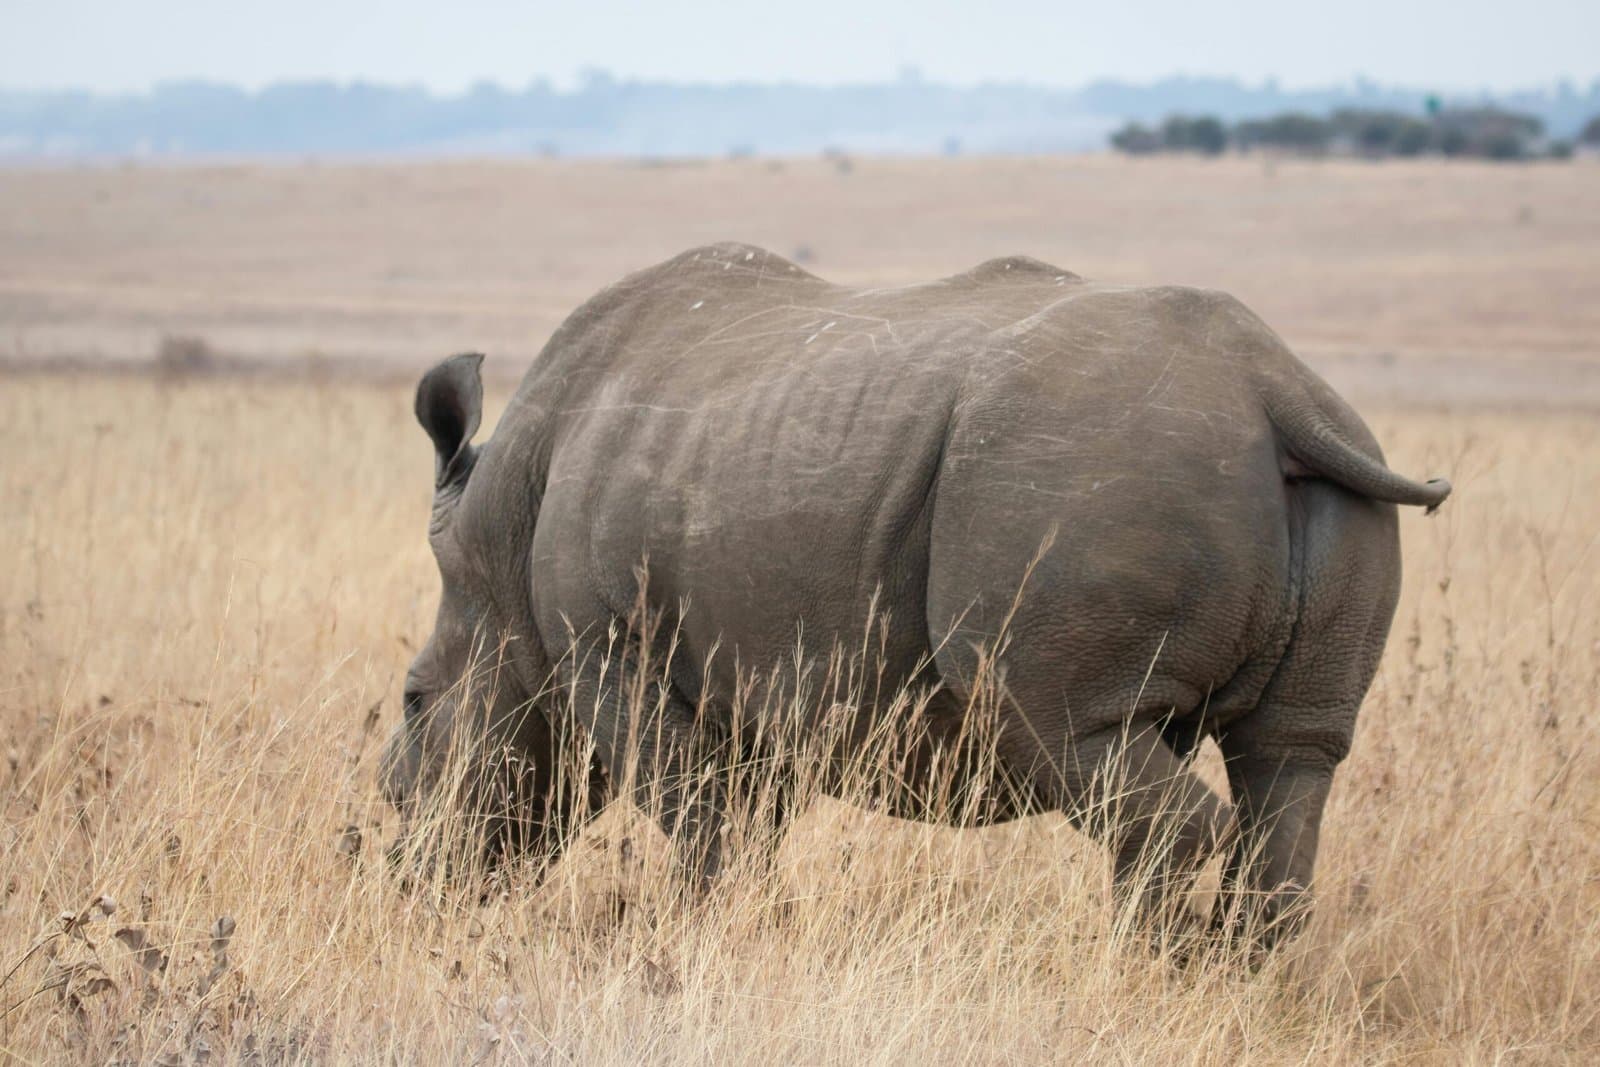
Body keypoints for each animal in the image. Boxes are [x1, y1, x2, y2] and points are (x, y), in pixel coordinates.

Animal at [380, 243, 1450, 948]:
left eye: (414, 701)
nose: (393, 865)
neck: (495, 546)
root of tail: (1276, 389)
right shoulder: (758, 673)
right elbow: (741, 822)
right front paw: (749, 936)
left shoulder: (606, 646)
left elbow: (693, 809)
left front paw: (691, 946)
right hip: (1297, 480)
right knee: (1290, 756)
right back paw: (1229, 982)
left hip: (1081, 472)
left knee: (1059, 723)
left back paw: (1143, 976)